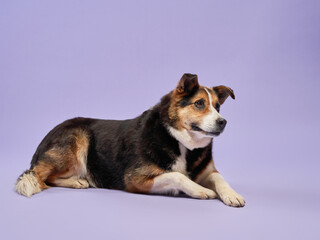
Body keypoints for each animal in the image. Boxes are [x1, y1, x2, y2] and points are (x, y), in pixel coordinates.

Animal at [15, 74, 245, 207]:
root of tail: (45, 138)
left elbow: (220, 178)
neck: (180, 141)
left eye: (218, 106)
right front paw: (201, 190)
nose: (223, 122)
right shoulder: (136, 179)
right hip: (78, 139)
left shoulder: (208, 171)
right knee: (39, 176)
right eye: (199, 103)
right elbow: (177, 176)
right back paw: (73, 180)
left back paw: (78, 181)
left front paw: (232, 194)